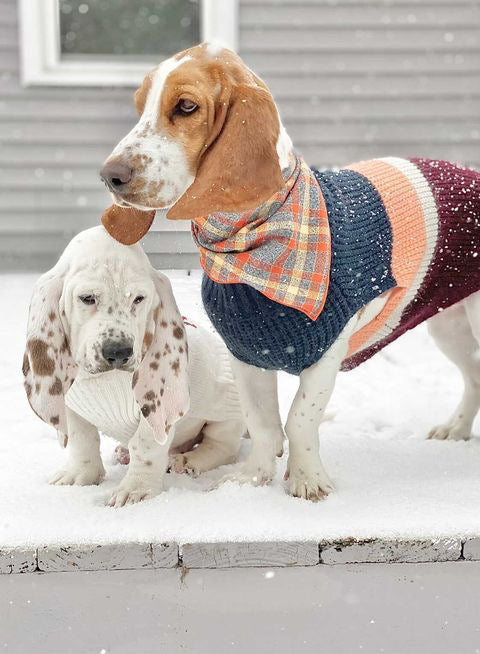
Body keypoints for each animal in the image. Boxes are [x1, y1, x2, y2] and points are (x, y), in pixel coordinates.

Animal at [22, 226, 244, 508]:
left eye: (139, 299)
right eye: (87, 298)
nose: (118, 352)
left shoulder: (153, 408)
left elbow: (145, 446)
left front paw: (136, 489)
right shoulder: (70, 403)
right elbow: (82, 439)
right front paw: (80, 475)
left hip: (229, 412)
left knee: (221, 446)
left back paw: (187, 461)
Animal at [99, 43, 480, 502]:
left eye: (186, 106)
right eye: (141, 106)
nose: (110, 176)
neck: (251, 244)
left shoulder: (327, 351)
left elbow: (299, 419)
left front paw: (307, 481)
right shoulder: (246, 354)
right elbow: (262, 424)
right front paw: (251, 480)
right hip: (450, 327)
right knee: (475, 377)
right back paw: (456, 429)